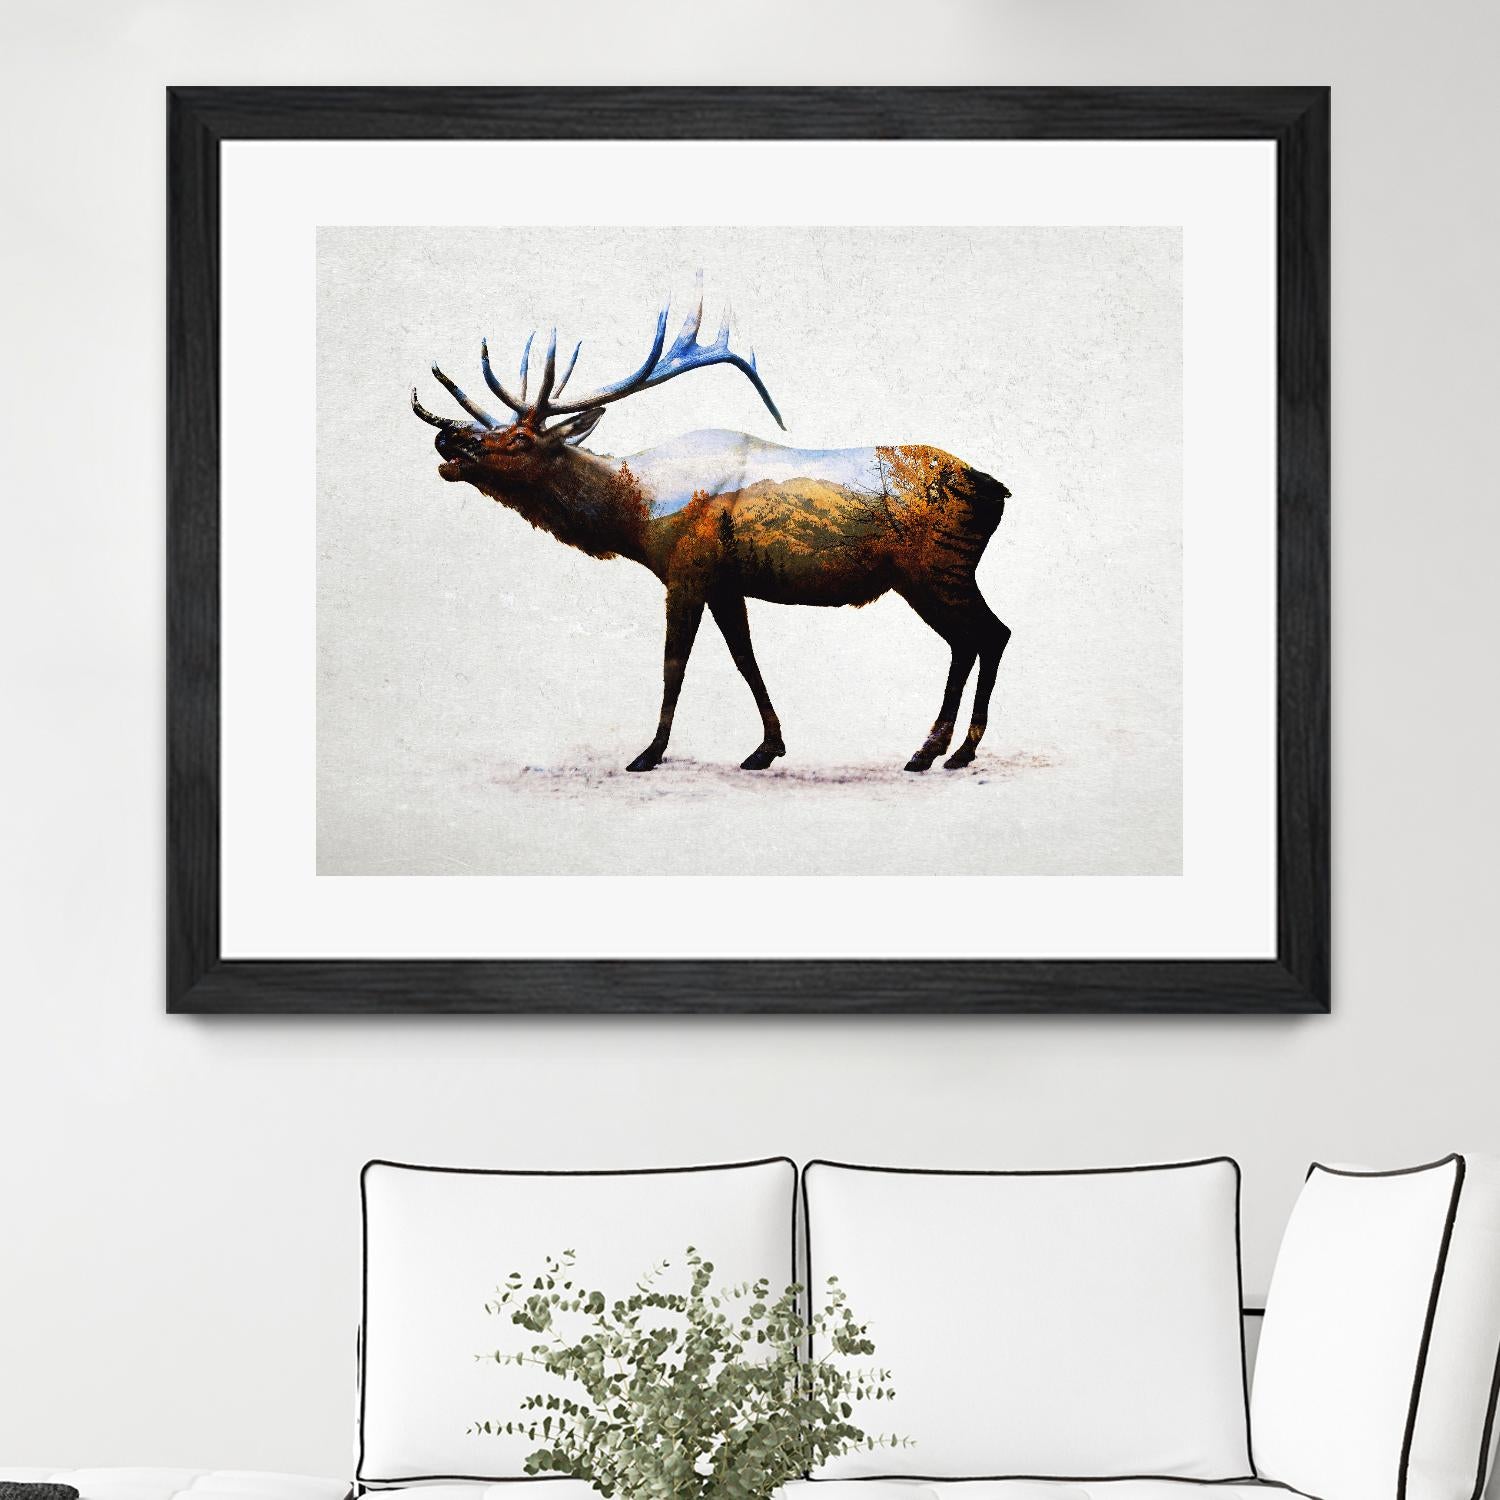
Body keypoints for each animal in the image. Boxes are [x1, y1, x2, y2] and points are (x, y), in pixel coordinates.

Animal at [411, 295, 1012, 774]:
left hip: (935, 568)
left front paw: (648, 753)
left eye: (518, 439)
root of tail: (996, 489)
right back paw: (947, 750)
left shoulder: (687, 569)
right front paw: (767, 747)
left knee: (985, 634)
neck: (636, 514)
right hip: (941, 573)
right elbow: (746, 658)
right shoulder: (727, 583)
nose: (448, 439)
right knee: (981, 636)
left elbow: (674, 665)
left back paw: (940, 751)